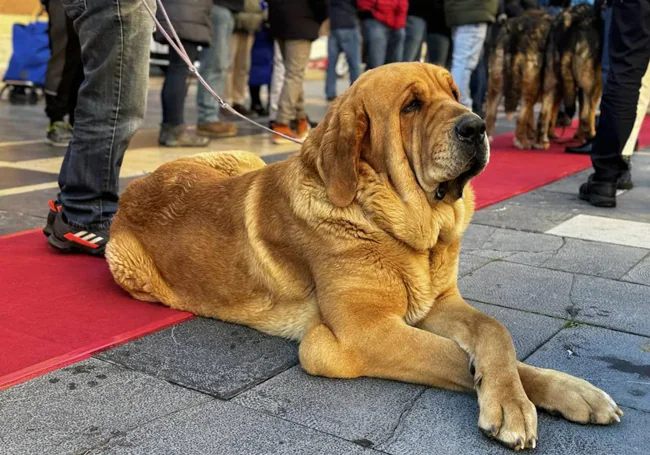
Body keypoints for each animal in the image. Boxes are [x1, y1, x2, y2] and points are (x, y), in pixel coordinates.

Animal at [107, 62, 624, 450]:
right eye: (411, 106)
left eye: (456, 92)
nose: (477, 126)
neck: (390, 221)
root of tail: (132, 189)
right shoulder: (361, 335)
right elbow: (451, 356)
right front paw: (510, 402)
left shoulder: (439, 303)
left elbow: (496, 335)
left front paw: (565, 391)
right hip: (126, 263)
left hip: (243, 159)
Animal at [484, 10, 548, 149]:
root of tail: (516, 30)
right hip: (531, 88)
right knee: (521, 117)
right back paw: (522, 141)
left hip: (496, 85)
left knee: (490, 114)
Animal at [536, 4, 600, 150]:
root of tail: (568, 21)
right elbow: (591, 110)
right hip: (587, 82)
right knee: (585, 115)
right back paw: (589, 137)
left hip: (551, 83)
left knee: (544, 113)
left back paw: (542, 142)